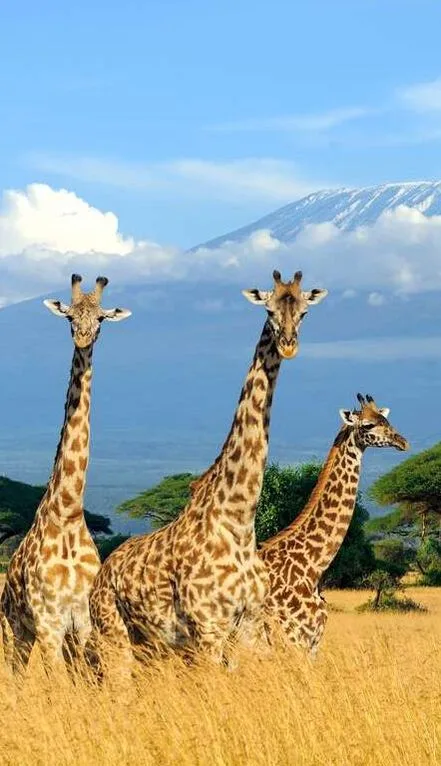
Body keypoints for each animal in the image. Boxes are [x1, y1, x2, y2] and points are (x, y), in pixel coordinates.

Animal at [0, 274, 131, 674]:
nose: (83, 338)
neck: (69, 513)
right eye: (70, 316)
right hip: (16, 629)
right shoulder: (49, 624)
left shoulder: (83, 622)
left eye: (101, 318)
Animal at [87, 270, 328, 672]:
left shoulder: (249, 625)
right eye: (269, 309)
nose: (289, 344)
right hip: (113, 634)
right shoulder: (208, 629)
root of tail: (102, 573)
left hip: (152, 646)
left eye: (305, 312)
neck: (239, 519)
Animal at [259, 393, 409, 656]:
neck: (312, 567)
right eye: (367, 425)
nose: (402, 441)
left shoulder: (311, 643)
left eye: (387, 420)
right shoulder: (295, 639)